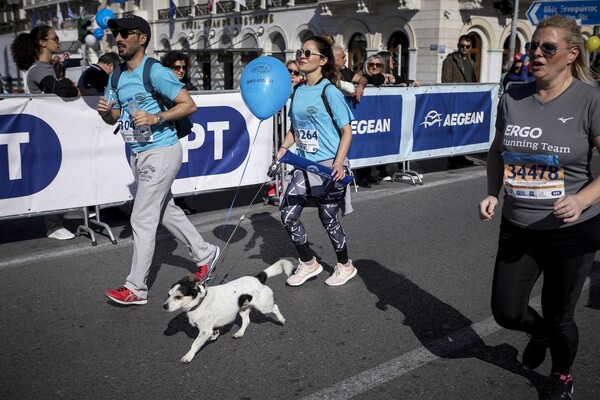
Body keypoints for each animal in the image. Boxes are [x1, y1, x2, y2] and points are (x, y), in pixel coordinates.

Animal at [164, 258, 296, 364]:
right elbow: (211, 334)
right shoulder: (207, 329)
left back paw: (281, 319)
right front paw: (214, 335)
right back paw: (239, 333)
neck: (199, 301)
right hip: (243, 308)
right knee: (246, 321)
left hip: (263, 306)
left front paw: (188, 356)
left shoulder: (205, 330)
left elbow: (195, 343)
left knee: (275, 307)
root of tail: (258, 278)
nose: (164, 306)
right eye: (168, 295)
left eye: (178, 297)